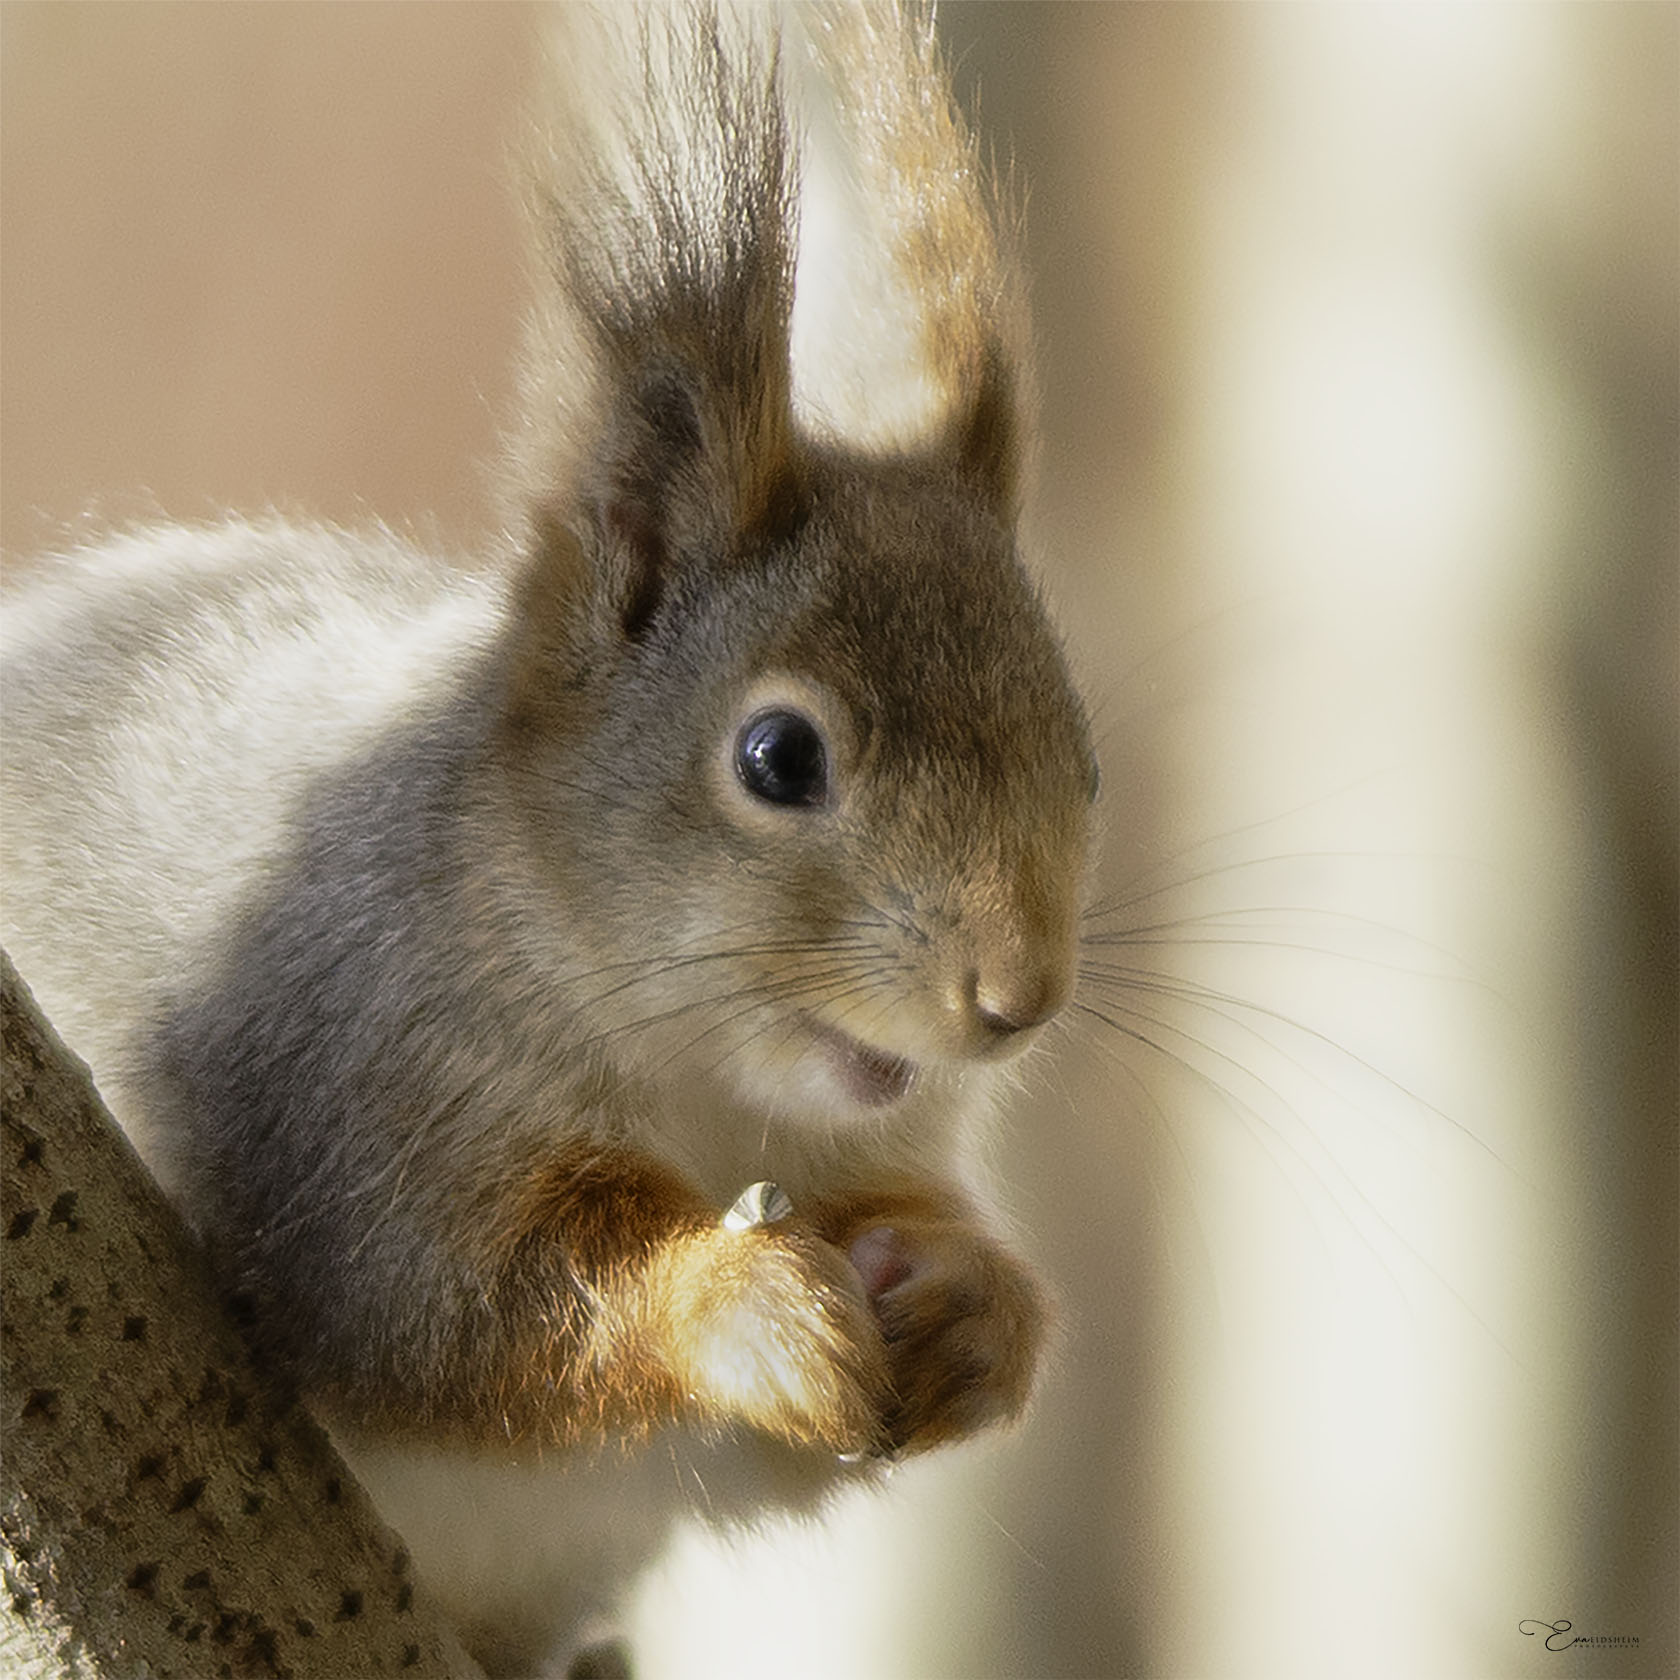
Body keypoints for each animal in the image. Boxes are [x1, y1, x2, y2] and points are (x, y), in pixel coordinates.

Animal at [0, 5, 1096, 1674]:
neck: (710, 1096)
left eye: (1085, 755)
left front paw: (977, 1306)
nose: (1015, 999)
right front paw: (737, 1304)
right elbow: (458, 1302)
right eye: (780, 757)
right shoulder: (337, 1080)